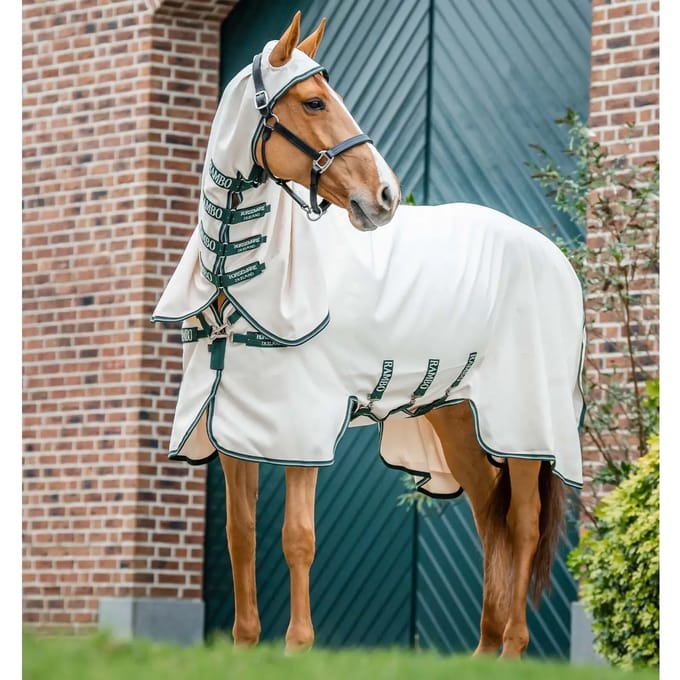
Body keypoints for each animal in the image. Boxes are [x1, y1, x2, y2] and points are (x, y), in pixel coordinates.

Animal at [152, 11, 585, 660]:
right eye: (312, 101)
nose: (385, 196)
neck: (240, 276)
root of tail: (553, 256)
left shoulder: (299, 426)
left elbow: (297, 536)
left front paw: (298, 648)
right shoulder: (235, 428)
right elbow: (241, 534)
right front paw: (246, 647)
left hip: (526, 427)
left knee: (524, 522)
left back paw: (512, 648)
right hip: (456, 415)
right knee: (490, 515)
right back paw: (484, 653)